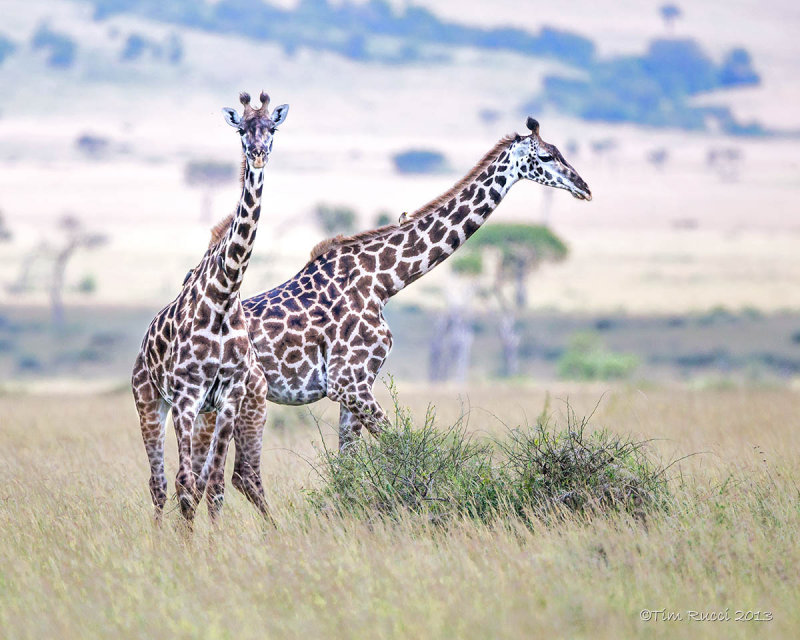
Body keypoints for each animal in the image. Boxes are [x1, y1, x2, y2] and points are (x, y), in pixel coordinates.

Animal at [131, 90, 290, 524]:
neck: (224, 294)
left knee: (195, 483)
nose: (258, 154)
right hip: (149, 401)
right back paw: (158, 534)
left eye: (272, 128)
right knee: (160, 482)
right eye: (241, 129)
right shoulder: (186, 396)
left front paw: (213, 539)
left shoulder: (228, 396)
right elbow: (185, 482)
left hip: (204, 411)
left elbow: (213, 486)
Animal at [195, 116, 592, 504]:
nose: (584, 187)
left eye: (561, 152)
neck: (384, 280)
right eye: (546, 157)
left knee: (204, 479)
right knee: (224, 478)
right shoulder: (349, 382)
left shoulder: (353, 386)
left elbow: (347, 468)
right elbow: (397, 446)